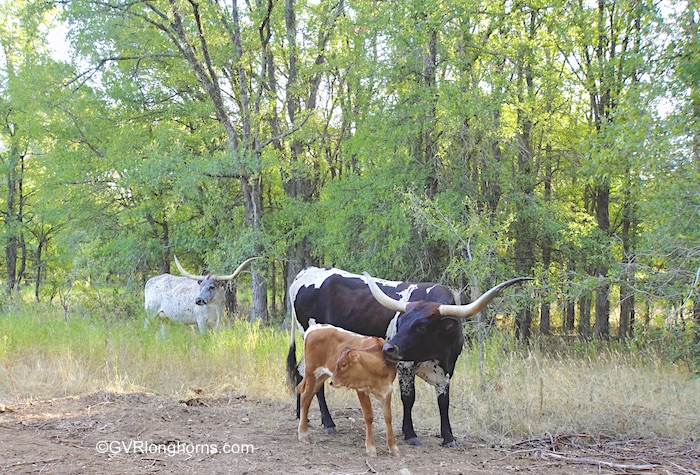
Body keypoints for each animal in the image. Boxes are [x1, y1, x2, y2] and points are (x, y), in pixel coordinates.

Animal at [296, 324, 400, 458]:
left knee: (309, 397)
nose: (332, 382)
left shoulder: (387, 390)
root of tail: (316, 327)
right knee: (305, 397)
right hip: (312, 372)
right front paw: (371, 448)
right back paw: (303, 434)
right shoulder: (361, 390)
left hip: (321, 376)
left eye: (344, 364)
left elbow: (388, 417)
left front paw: (393, 448)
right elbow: (368, 417)